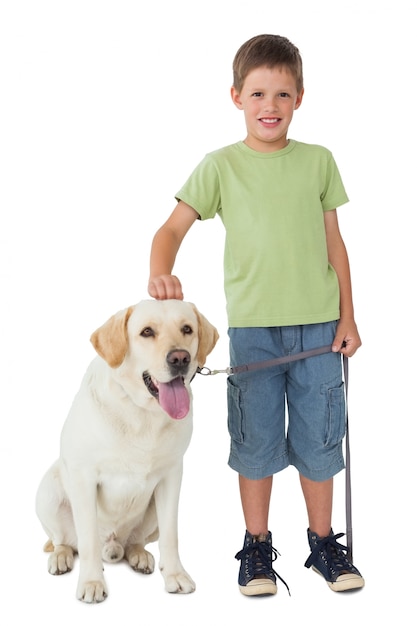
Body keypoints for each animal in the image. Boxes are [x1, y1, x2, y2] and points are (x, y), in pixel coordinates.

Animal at [35, 298, 218, 600]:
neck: (142, 413)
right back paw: (61, 557)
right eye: (146, 332)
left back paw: (138, 555)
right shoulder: (84, 477)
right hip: (48, 492)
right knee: (65, 540)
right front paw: (91, 582)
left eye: (187, 329)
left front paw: (176, 575)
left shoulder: (171, 476)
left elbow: (171, 535)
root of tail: (113, 543)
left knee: (137, 540)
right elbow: (87, 540)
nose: (180, 358)